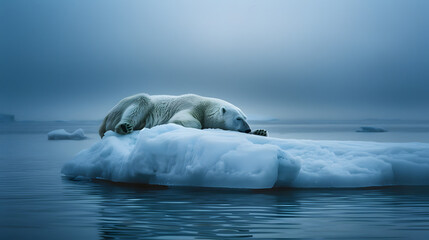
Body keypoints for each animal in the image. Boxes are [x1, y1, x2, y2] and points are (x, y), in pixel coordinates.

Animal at [98, 94, 266, 139]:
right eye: (238, 118)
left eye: (245, 118)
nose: (247, 129)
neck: (206, 106)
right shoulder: (191, 105)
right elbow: (182, 120)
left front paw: (261, 131)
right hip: (125, 106)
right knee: (141, 100)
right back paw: (124, 127)